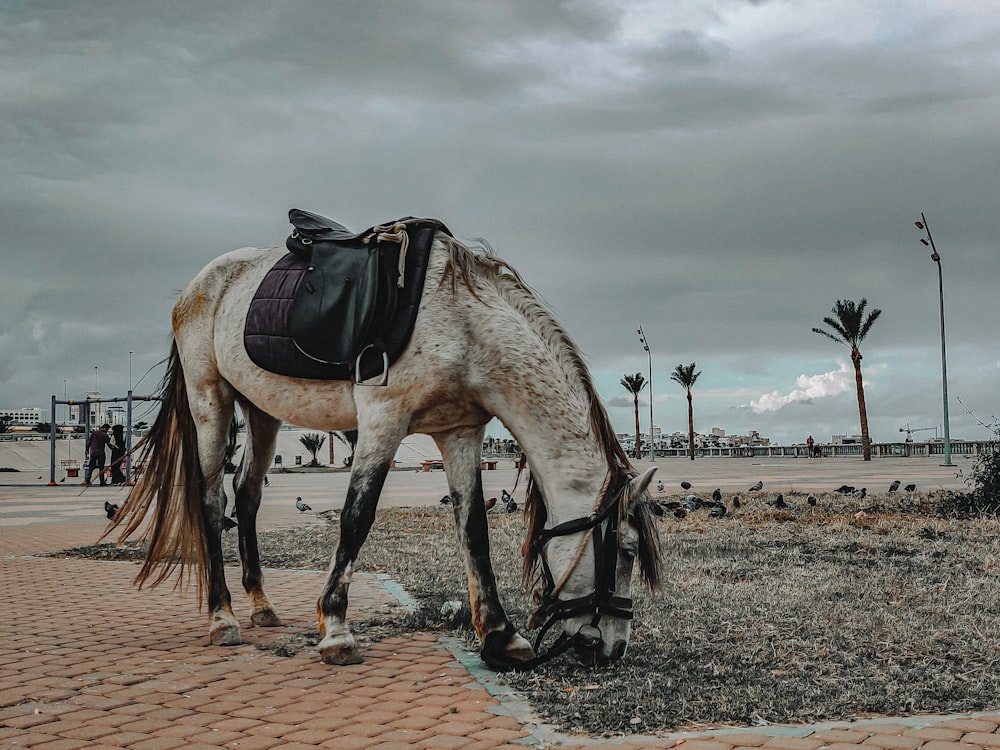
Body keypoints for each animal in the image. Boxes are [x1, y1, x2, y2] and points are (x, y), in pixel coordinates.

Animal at [109, 219, 660, 668]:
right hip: (211, 401)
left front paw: (500, 635)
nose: (614, 648)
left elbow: (473, 529)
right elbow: (356, 519)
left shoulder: (460, 433)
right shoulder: (382, 421)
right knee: (211, 500)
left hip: (262, 411)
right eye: (627, 551)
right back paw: (222, 617)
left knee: (246, 496)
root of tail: (196, 287)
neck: (463, 324)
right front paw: (335, 628)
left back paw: (261, 604)